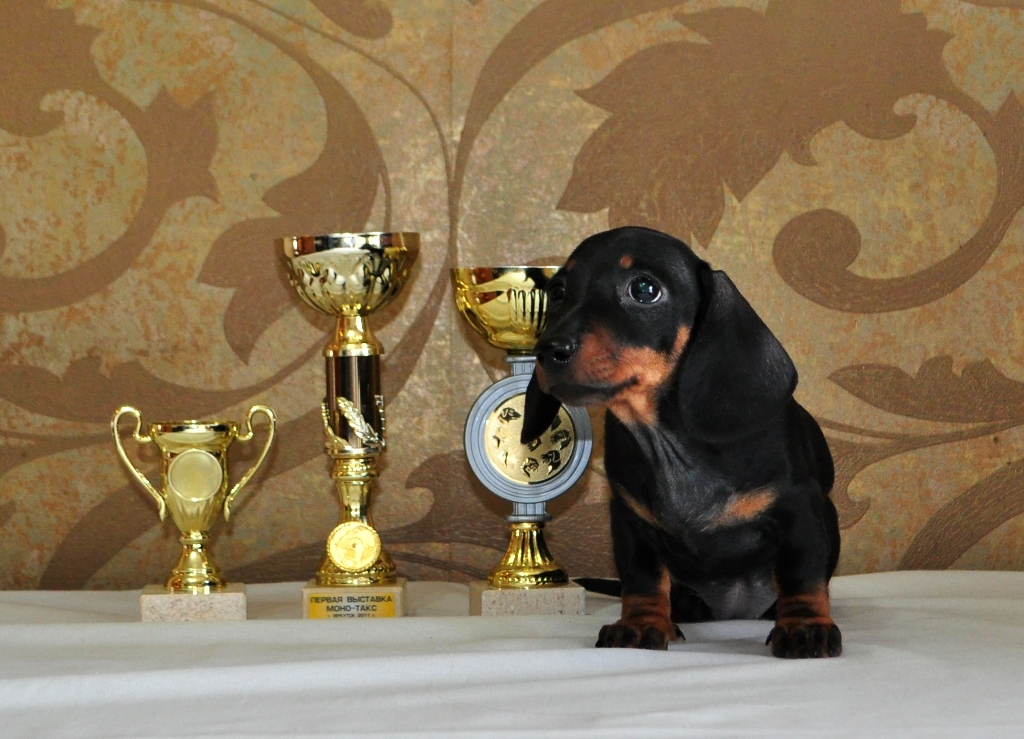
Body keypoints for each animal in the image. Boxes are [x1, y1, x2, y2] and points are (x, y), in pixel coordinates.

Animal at [520, 226, 841, 658]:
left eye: (644, 289)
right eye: (557, 292)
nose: (546, 351)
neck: (672, 443)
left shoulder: (799, 509)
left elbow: (801, 573)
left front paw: (805, 625)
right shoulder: (630, 521)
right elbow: (641, 578)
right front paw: (641, 624)